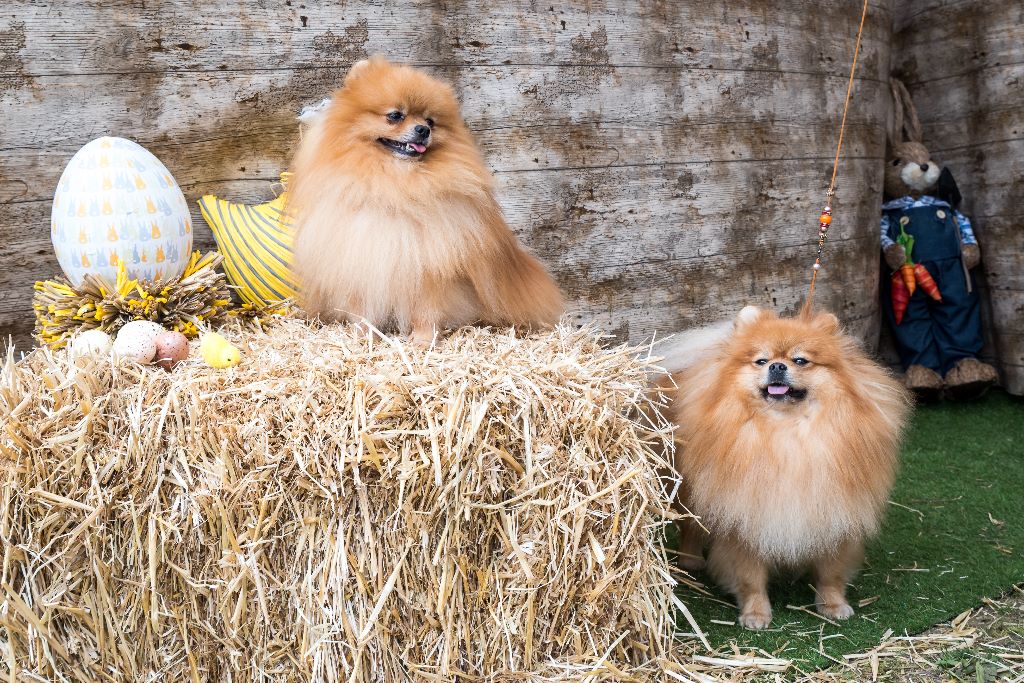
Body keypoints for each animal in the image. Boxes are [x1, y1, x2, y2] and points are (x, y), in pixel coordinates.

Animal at [288, 56, 565, 344]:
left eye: (431, 121)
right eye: (395, 115)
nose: (422, 130)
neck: (396, 184)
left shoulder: (430, 270)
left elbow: (427, 311)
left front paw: (422, 341)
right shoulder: (360, 261)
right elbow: (362, 311)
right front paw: (362, 338)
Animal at [655, 309, 913, 630]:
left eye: (800, 360)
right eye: (761, 361)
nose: (777, 366)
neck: (787, 432)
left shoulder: (835, 513)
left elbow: (830, 573)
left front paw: (833, 604)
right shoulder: (745, 520)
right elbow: (750, 576)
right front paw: (755, 613)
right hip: (689, 487)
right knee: (690, 523)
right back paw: (691, 559)